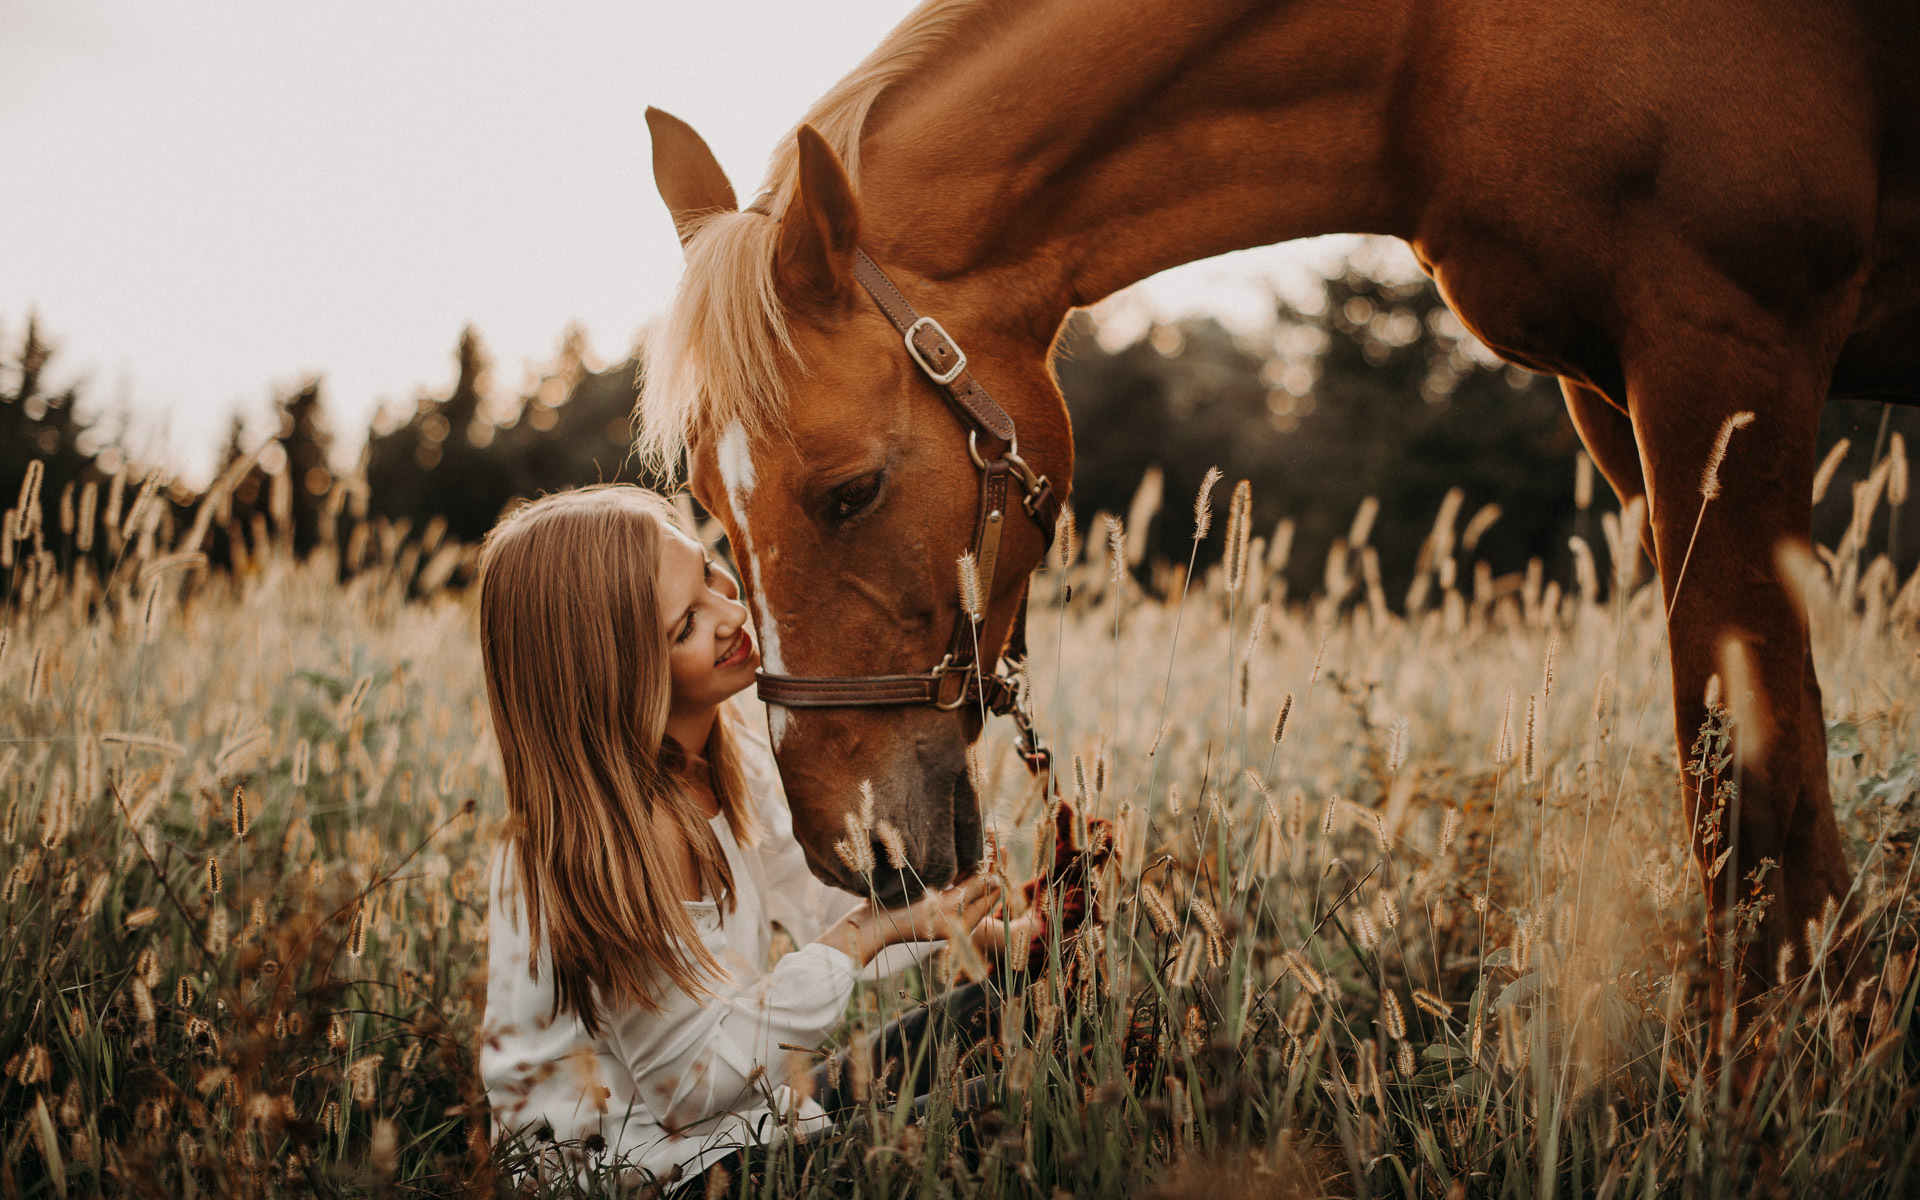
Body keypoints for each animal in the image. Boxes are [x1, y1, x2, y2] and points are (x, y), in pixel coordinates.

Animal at [645, 0, 1920, 975]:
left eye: (850, 492)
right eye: (707, 502)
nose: (846, 848)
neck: (1438, 47)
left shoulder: (1725, 354)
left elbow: (1755, 790)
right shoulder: (1618, 401)